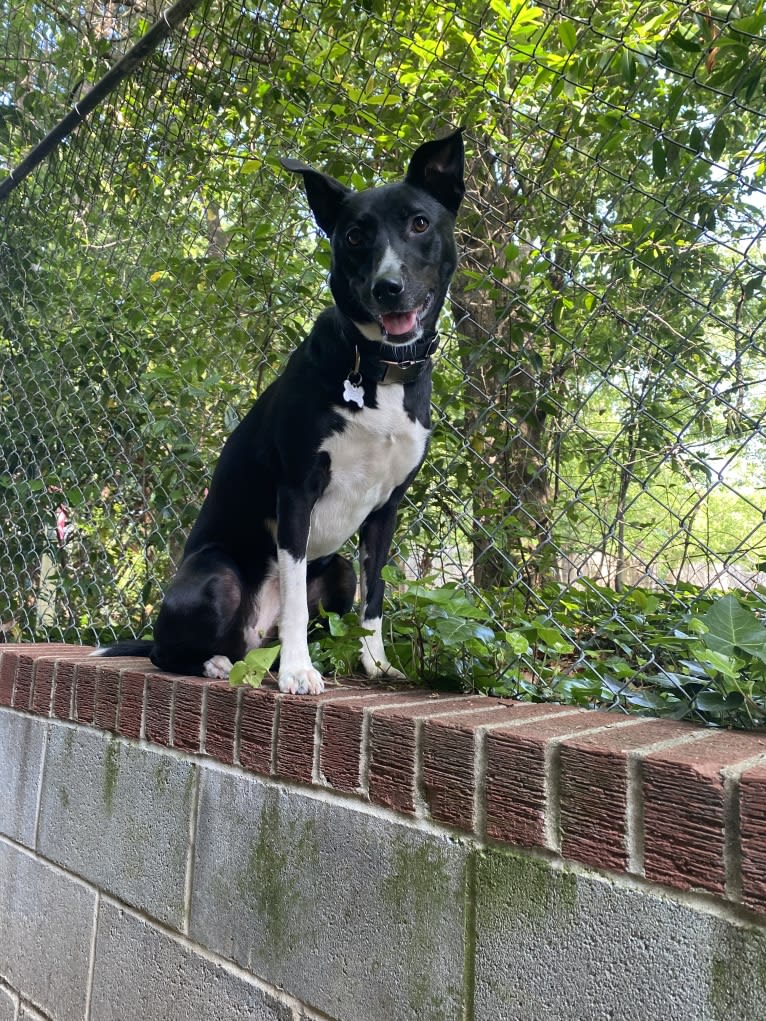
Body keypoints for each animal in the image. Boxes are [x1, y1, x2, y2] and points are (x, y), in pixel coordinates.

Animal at [96, 129, 467, 694]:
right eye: (354, 236)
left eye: (420, 223)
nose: (388, 288)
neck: (377, 367)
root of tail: (249, 640)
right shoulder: (297, 492)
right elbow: (294, 598)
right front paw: (298, 671)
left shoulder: (386, 509)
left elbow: (376, 598)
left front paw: (376, 665)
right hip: (217, 577)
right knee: (167, 652)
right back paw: (217, 662)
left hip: (339, 571)